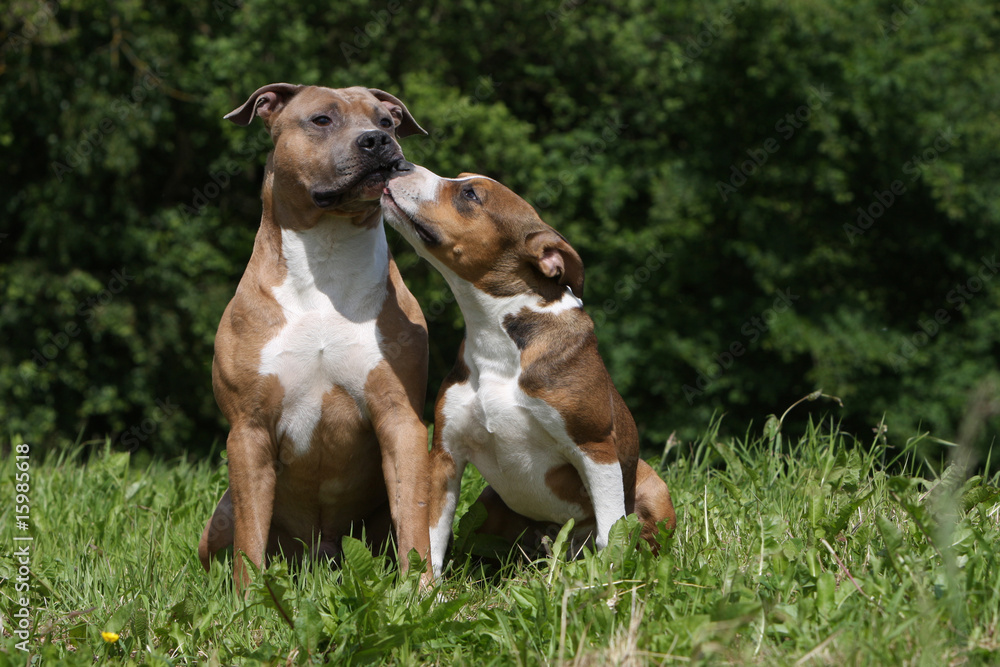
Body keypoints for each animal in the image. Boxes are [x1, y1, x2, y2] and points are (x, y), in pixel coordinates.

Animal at [200, 83, 434, 588]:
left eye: (386, 121)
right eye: (321, 120)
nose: (377, 141)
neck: (328, 253)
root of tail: (321, 551)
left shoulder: (400, 418)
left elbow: (414, 517)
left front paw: (425, 591)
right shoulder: (248, 428)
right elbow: (250, 537)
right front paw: (249, 598)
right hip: (221, 516)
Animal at [378, 163, 676, 580]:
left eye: (470, 194)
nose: (400, 164)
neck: (497, 335)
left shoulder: (595, 448)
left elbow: (609, 532)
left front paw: (607, 585)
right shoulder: (446, 455)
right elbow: (432, 536)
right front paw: (426, 590)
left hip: (651, 489)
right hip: (489, 509)